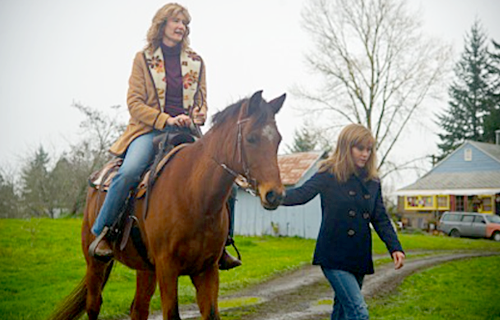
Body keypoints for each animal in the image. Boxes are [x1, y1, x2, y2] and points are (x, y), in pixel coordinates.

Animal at [48, 90, 288, 320]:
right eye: (251, 138)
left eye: (278, 139)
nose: (274, 194)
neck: (194, 197)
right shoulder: (167, 268)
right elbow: (172, 314)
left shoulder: (207, 269)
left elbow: (211, 314)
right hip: (95, 263)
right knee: (94, 306)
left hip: (146, 269)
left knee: (138, 309)